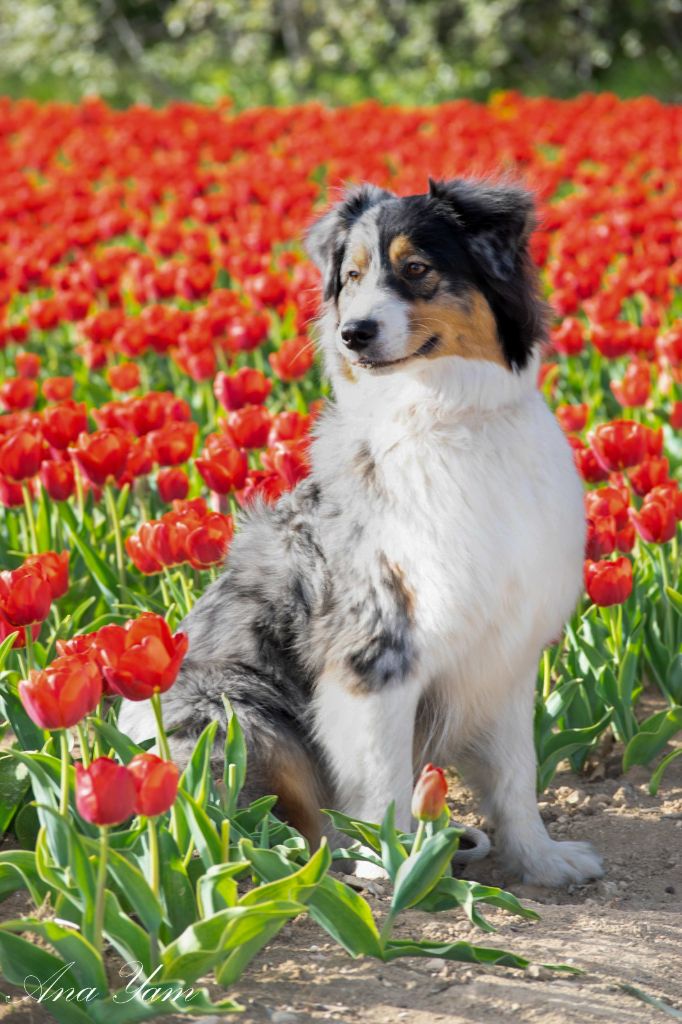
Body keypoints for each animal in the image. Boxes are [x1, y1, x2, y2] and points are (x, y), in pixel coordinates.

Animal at [119, 176, 602, 888]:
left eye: (417, 269)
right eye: (351, 277)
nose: (354, 333)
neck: (445, 416)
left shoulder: (504, 651)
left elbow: (518, 777)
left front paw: (543, 862)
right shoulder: (374, 652)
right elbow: (385, 790)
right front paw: (403, 875)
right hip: (238, 713)